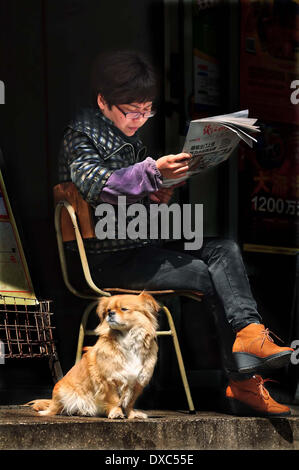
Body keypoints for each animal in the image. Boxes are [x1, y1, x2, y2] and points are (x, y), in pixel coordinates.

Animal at [27, 294, 161, 418]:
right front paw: (116, 413)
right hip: (62, 392)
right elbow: (114, 400)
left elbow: (129, 402)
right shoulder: (108, 381)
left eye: (124, 309)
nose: (110, 313)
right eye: (108, 309)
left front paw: (132, 415)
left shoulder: (138, 382)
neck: (128, 340)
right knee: (55, 409)